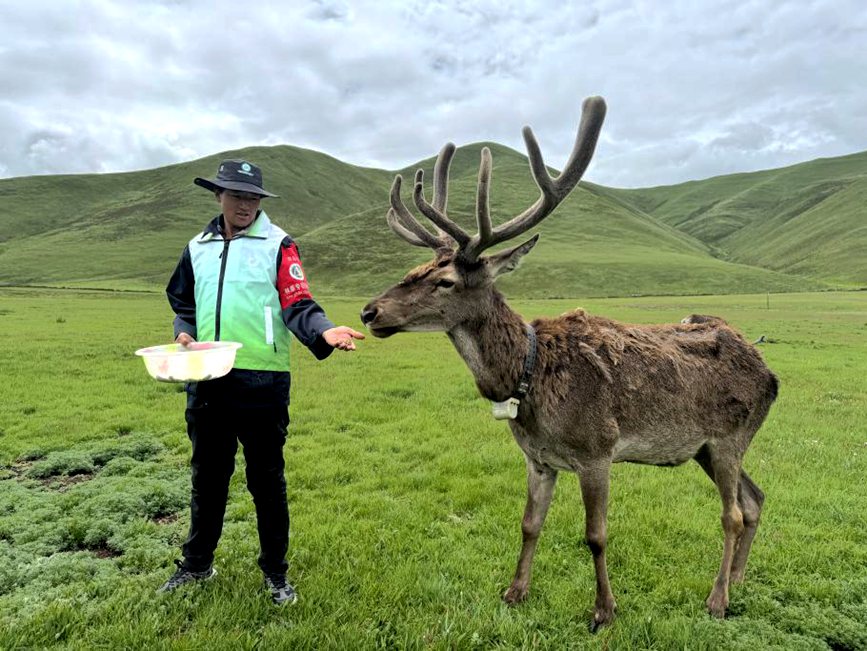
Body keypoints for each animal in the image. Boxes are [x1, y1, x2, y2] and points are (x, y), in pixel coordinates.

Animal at [360, 96, 779, 631]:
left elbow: (595, 536)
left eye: (445, 281)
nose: (370, 312)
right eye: (413, 269)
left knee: (733, 513)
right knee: (755, 499)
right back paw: (740, 579)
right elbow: (528, 525)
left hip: (729, 436)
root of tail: (771, 374)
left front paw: (604, 610)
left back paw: (718, 598)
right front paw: (515, 591)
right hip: (704, 448)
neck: (528, 378)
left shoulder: (597, 450)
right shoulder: (538, 459)